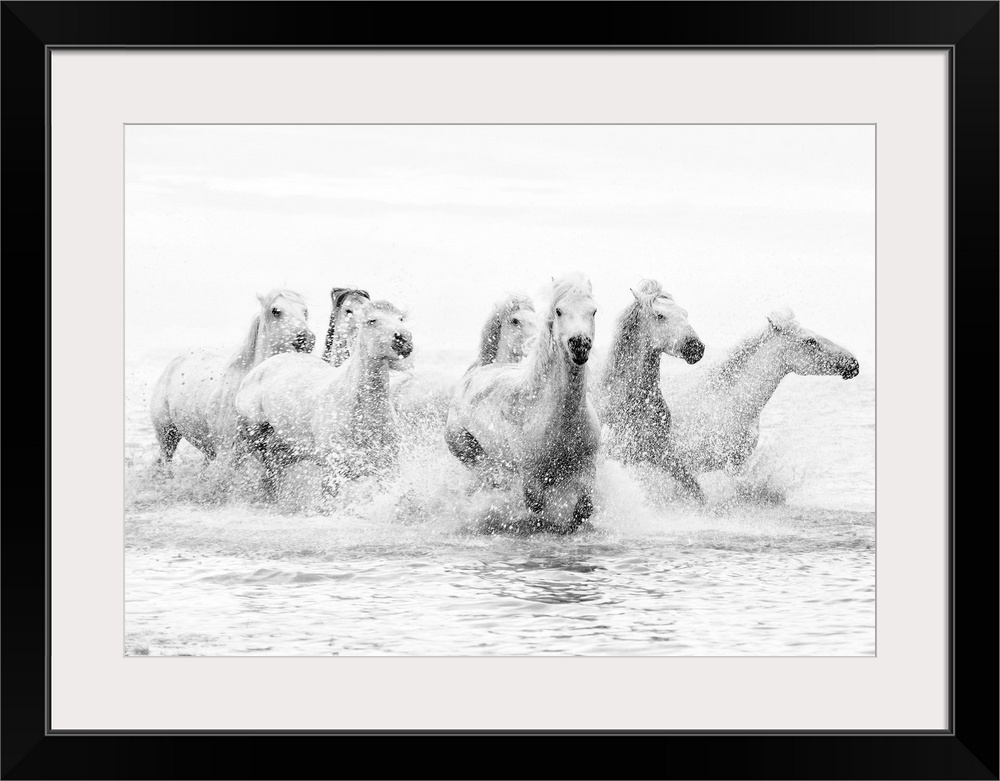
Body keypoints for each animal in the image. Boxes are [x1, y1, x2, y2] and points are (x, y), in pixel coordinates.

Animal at [235, 298, 414, 494]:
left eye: (401, 319)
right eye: (371, 321)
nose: (404, 339)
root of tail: (257, 370)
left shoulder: (388, 471)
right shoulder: (332, 475)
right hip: (252, 440)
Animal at [448, 272, 600, 532]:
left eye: (594, 311)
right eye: (558, 310)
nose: (580, 344)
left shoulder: (587, 465)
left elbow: (584, 508)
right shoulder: (530, 475)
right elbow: (536, 506)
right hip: (468, 451)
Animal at [596, 280, 708, 500]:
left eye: (685, 314)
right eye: (660, 315)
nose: (695, 348)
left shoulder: (660, 452)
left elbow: (694, 487)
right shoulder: (622, 456)